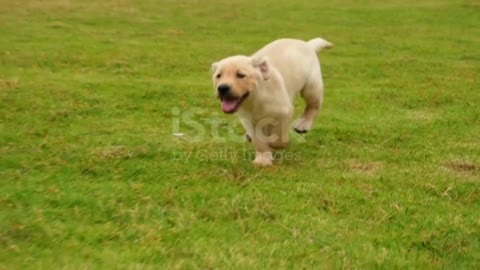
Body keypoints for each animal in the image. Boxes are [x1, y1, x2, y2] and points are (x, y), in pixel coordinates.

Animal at [212, 37, 332, 166]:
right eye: (218, 76)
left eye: (241, 75)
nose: (222, 88)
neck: (255, 99)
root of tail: (307, 44)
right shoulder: (248, 120)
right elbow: (258, 140)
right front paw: (263, 160)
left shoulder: (283, 112)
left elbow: (278, 135)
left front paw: (276, 145)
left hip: (311, 86)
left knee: (313, 105)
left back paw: (303, 125)